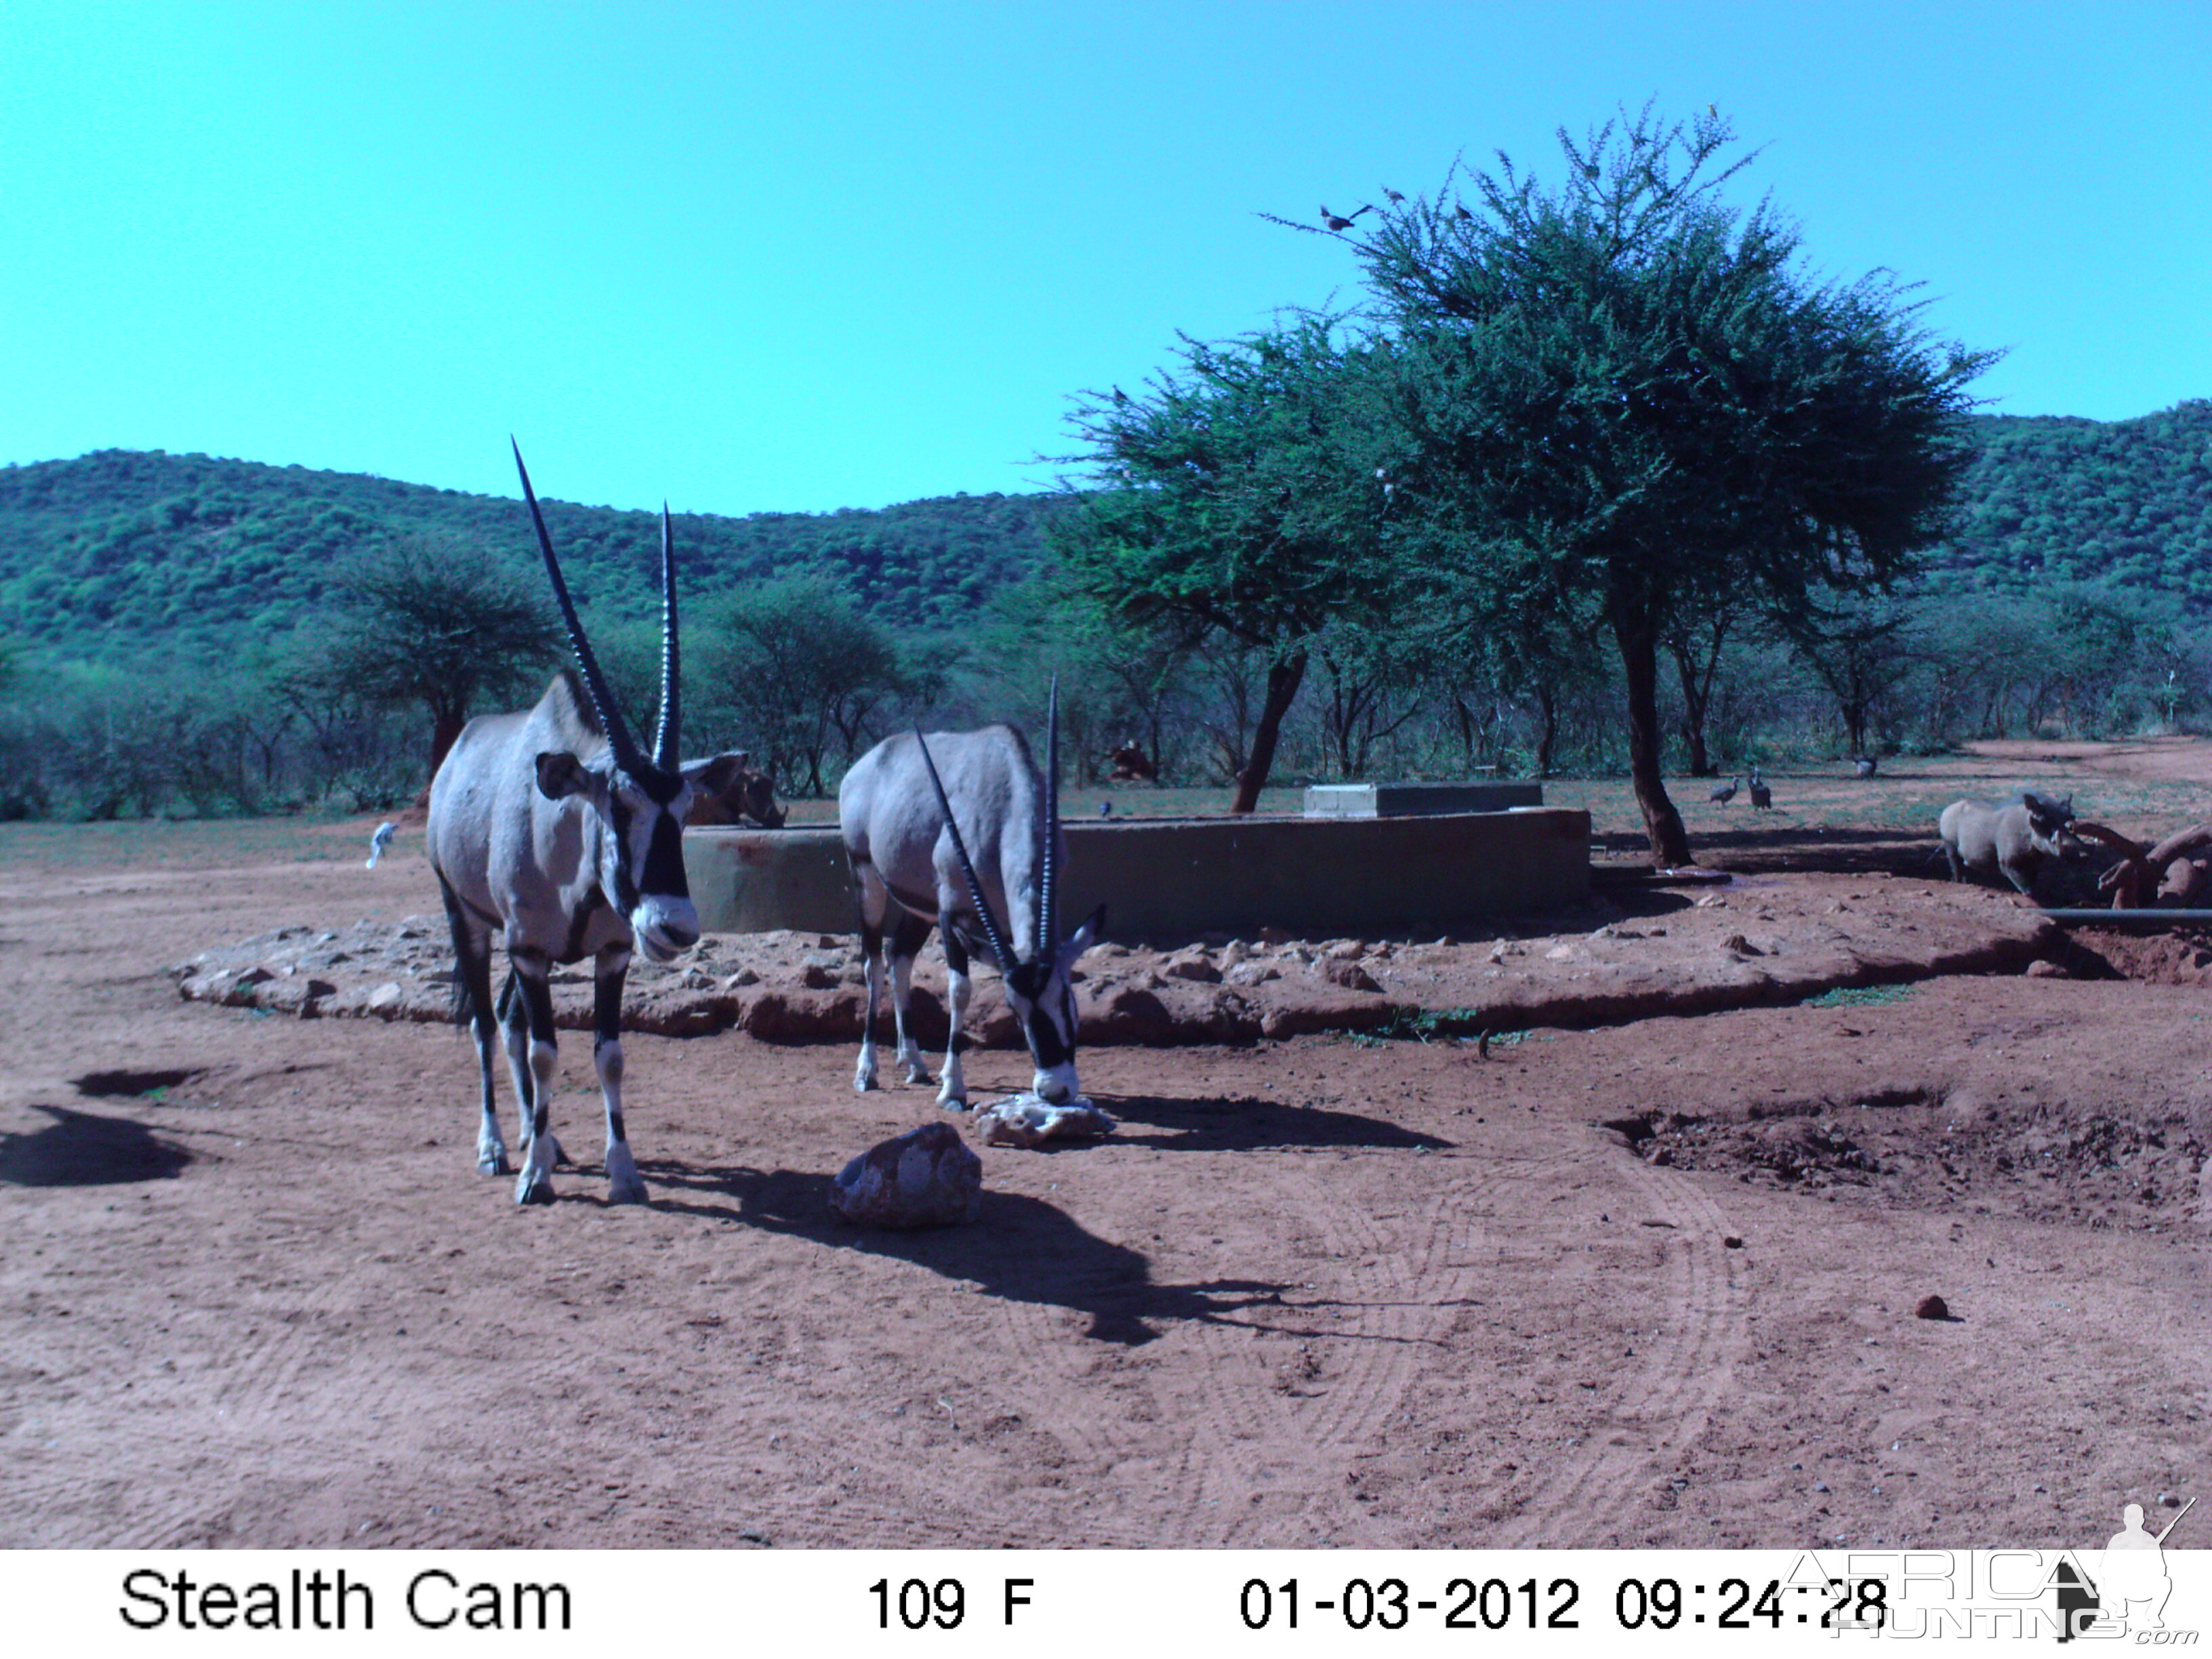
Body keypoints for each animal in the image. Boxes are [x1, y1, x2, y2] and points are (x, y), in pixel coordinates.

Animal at [422, 449, 752, 1212]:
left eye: (685, 810)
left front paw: (622, 1171)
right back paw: (497, 1149)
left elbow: (609, 1053)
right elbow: (547, 1051)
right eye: (618, 807)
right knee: (487, 1024)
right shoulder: (529, 950)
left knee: (509, 1020)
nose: (675, 927)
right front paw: (534, 1180)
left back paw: (538, 1140)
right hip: (470, 921)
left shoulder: (610, 955)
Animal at [832, 690, 1101, 1119]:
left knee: (899, 958)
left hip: (917, 907)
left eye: (1066, 1000)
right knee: (874, 964)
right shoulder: (951, 912)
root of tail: (866, 763)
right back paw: (867, 1070)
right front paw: (953, 1090)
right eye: (1014, 1008)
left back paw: (915, 1064)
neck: (1006, 794)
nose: (1055, 1091)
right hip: (867, 878)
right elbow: (960, 990)